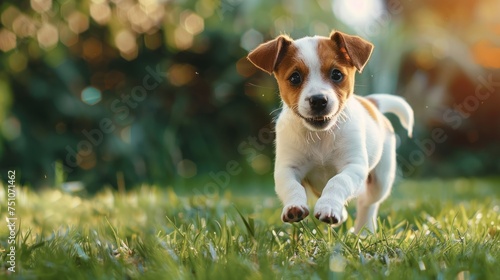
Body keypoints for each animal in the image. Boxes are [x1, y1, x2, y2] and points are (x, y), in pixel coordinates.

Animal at [246, 29, 414, 233]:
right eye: (295, 77)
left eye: (336, 74)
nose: (318, 100)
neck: (321, 135)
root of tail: (371, 103)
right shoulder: (287, 169)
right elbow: (292, 187)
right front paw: (295, 206)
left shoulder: (353, 166)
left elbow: (338, 182)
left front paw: (328, 207)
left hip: (380, 180)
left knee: (367, 204)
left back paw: (364, 231)